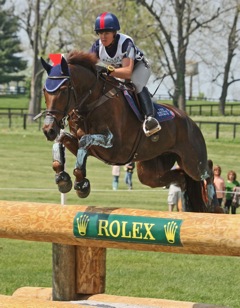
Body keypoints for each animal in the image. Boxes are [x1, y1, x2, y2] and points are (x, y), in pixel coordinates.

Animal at [39, 50, 219, 213]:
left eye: (63, 89)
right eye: (44, 91)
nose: (49, 130)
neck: (92, 102)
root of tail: (190, 121)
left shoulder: (115, 147)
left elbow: (85, 141)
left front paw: (81, 185)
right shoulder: (88, 145)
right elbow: (63, 139)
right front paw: (63, 179)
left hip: (192, 161)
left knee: (207, 170)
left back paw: (211, 200)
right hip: (150, 171)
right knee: (180, 178)